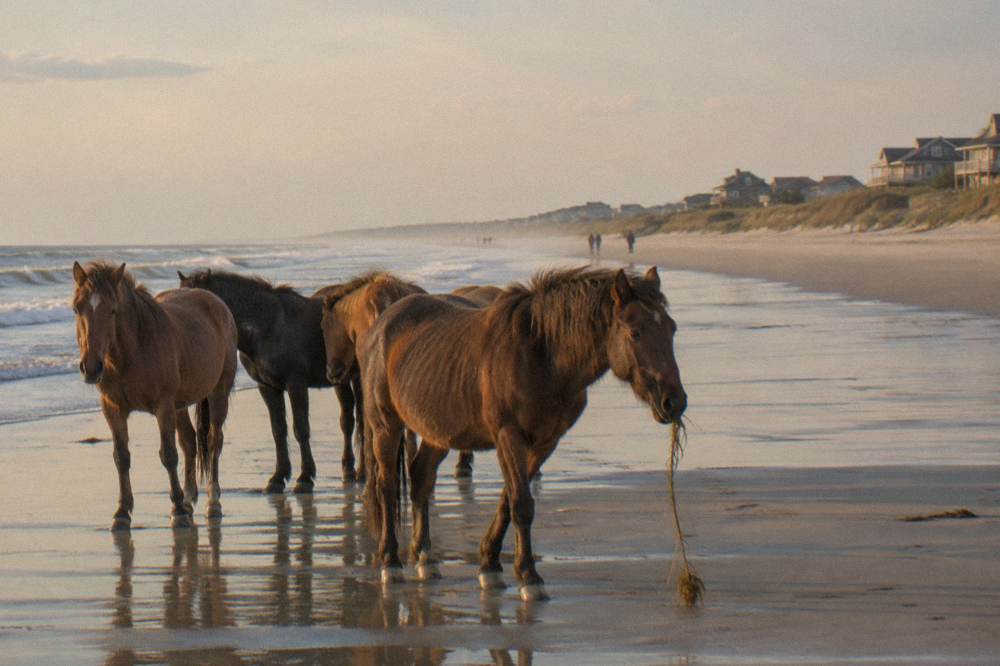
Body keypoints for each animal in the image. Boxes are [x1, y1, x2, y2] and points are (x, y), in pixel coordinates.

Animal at [72, 261, 238, 530]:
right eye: (77, 308)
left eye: (112, 310)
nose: (91, 367)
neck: (133, 351)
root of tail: (215, 301)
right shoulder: (113, 408)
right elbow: (121, 457)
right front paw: (122, 513)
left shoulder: (163, 406)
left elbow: (168, 455)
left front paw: (177, 510)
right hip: (180, 405)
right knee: (190, 442)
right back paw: (189, 499)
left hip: (217, 392)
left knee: (214, 440)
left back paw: (213, 501)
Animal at [177, 270, 362, 491]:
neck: (268, 326)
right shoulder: (267, 387)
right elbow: (278, 430)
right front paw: (278, 477)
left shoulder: (296, 384)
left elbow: (301, 429)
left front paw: (305, 477)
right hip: (340, 379)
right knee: (348, 419)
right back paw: (349, 469)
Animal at [358, 266, 686, 600]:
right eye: (635, 332)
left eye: (671, 329)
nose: (674, 402)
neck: (543, 355)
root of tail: (382, 323)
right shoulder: (509, 436)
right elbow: (521, 504)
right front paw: (529, 576)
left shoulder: (544, 442)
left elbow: (509, 500)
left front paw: (489, 564)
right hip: (386, 424)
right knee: (386, 485)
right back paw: (390, 561)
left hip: (438, 432)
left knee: (422, 478)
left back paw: (425, 557)